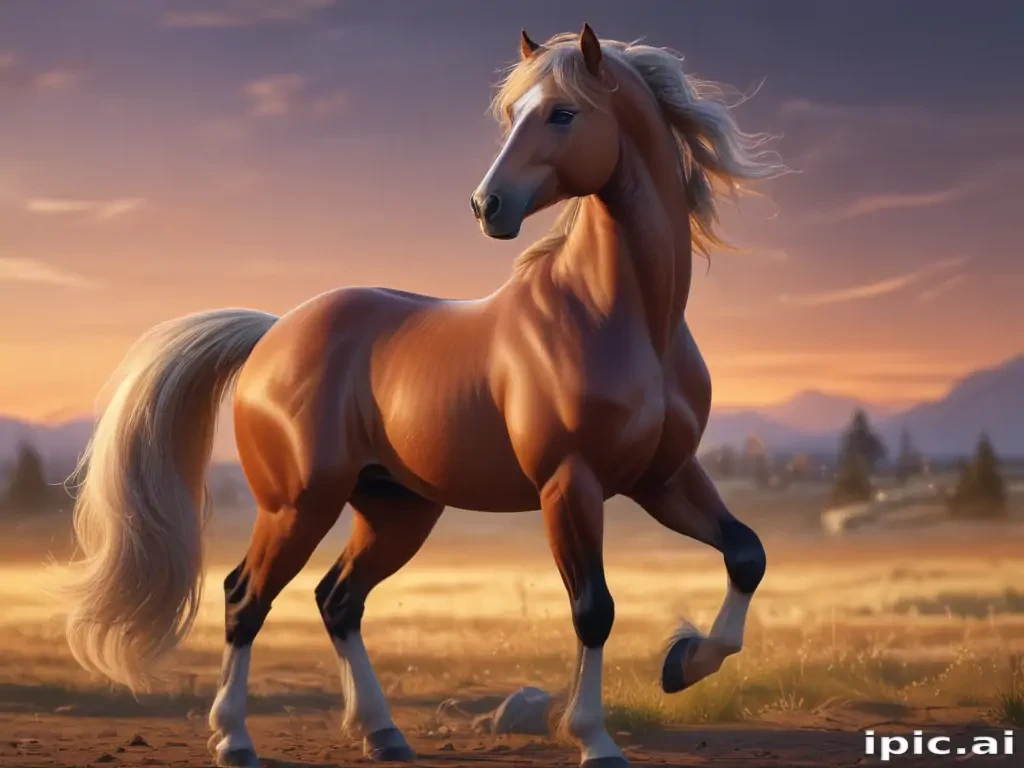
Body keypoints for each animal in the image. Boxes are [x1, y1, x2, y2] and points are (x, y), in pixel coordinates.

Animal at [59, 25, 780, 768]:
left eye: (562, 113)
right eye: (514, 115)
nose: (487, 205)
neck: (618, 315)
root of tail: (271, 335)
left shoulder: (662, 477)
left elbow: (746, 554)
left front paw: (683, 662)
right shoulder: (569, 484)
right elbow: (593, 608)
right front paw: (595, 739)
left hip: (395, 510)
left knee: (337, 599)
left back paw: (383, 733)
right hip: (297, 504)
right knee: (244, 597)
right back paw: (234, 738)